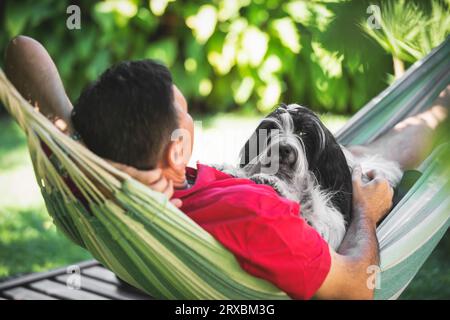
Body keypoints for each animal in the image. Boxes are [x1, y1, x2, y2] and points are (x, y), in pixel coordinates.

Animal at [216, 104, 402, 249]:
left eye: (303, 133)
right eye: (273, 129)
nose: (284, 149)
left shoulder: (336, 223)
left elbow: (319, 213)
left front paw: (280, 186)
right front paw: (233, 170)